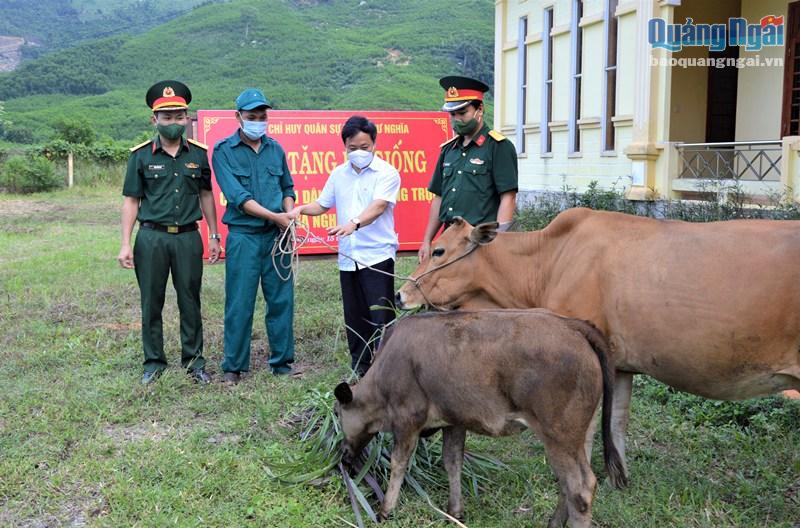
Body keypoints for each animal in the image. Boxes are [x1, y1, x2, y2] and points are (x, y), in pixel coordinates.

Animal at [396, 209, 800, 478]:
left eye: (439, 251)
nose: (401, 294)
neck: (549, 258)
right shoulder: (620, 363)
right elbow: (618, 420)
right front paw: (617, 477)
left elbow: (586, 428)